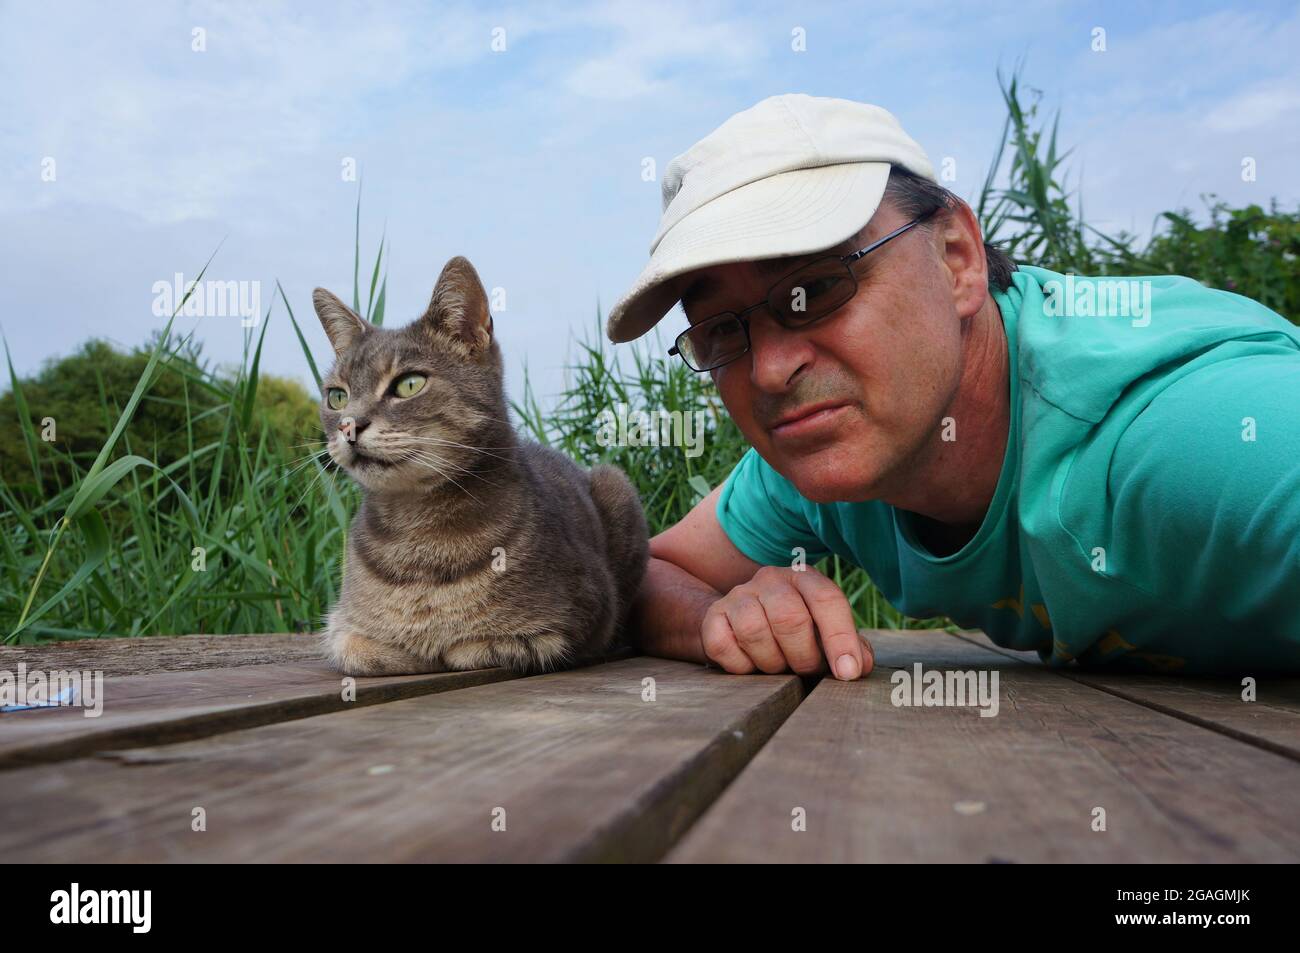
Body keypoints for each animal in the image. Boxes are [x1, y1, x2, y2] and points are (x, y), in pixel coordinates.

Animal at [309, 256, 644, 670]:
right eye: (337, 396)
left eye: (408, 384)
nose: (348, 425)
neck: (416, 533)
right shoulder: (343, 627)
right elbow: (357, 648)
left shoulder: (581, 616)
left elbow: (487, 644)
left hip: (616, 484)